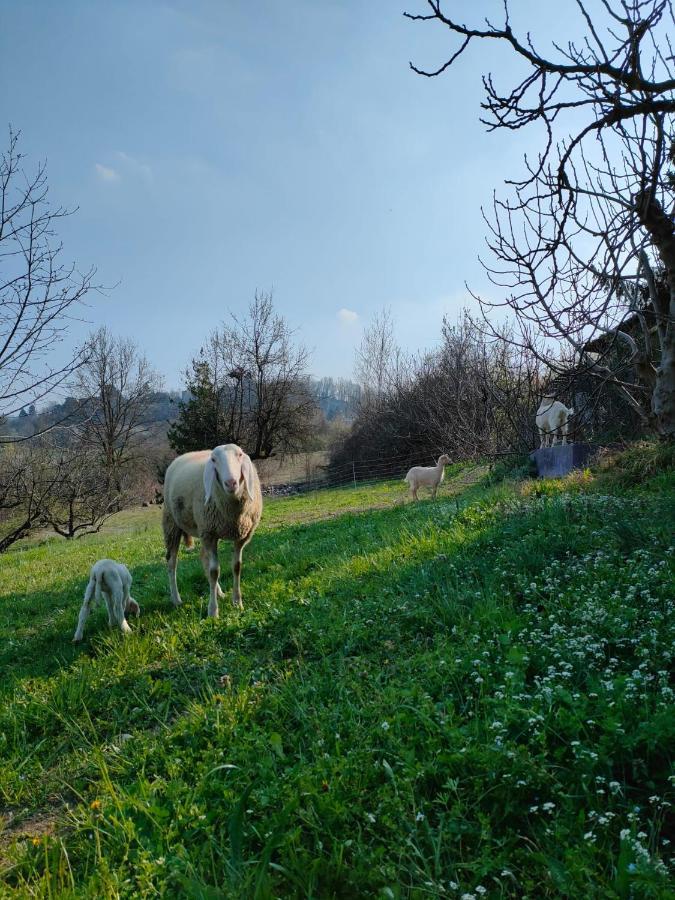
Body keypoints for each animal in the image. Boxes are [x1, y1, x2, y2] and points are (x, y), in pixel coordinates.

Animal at [161, 444, 262, 620]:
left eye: (240, 454)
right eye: (214, 459)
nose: (230, 482)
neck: (233, 513)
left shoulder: (240, 537)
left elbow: (237, 566)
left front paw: (237, 603)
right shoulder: (210, 534)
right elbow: (215, 571)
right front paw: (213, 611)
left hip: (203, 530)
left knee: (203, 557)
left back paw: (219, 592)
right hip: (173, 524)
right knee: (172, 562)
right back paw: (176, 599)